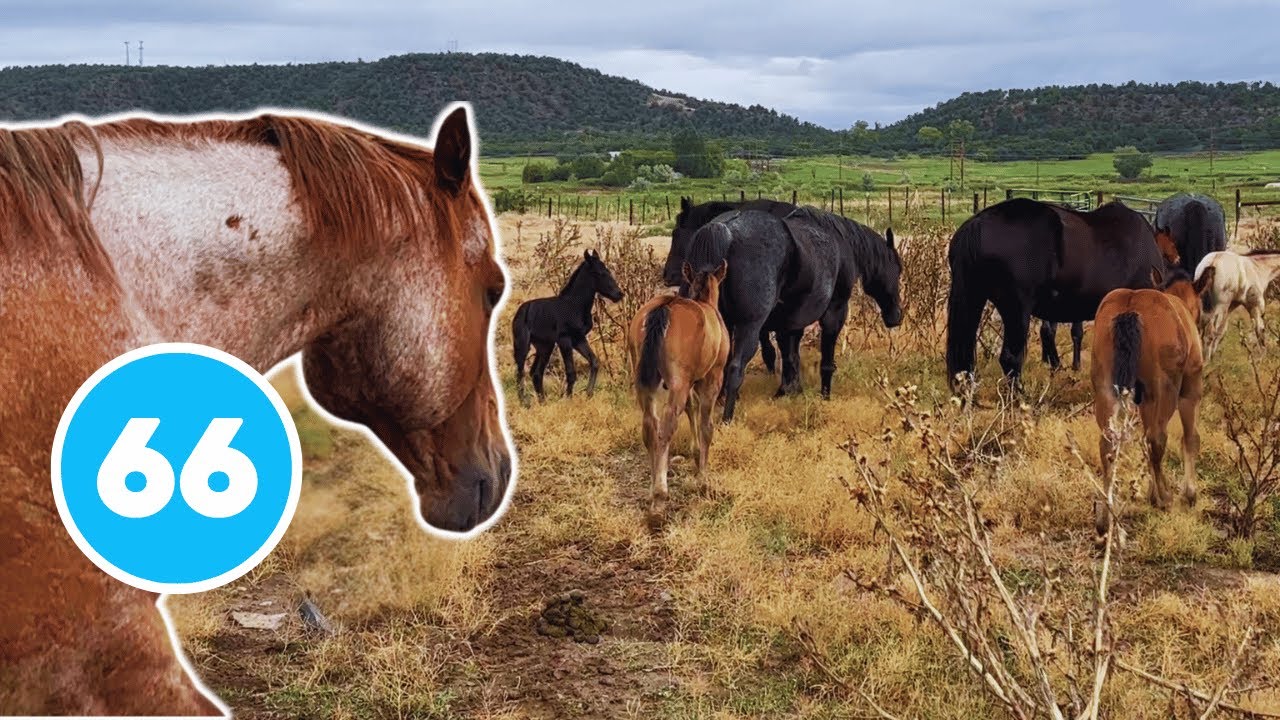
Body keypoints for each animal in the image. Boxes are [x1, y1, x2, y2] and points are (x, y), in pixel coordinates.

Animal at [511, 249, 623, 403]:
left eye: (608, 271)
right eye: (600, 273)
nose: (619, 294)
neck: (574, 306)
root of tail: (521, 311)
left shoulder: (579, 339)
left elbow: (594, 362)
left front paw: (588, 394)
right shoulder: (564, 340)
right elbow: (571, 371)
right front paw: (568, 398)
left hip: (545, 346)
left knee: (536, 372)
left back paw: (542, 402)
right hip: (523, 345)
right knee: (520, 371)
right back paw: (525, 402)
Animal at [628, 261, 730, 524]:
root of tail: (664, 307)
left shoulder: (690, 382)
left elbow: (691, 409)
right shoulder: (711, 378)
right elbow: (706, 424)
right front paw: (703, 478)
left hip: (645, 385)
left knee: (650, 426)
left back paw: (652, 488)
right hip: (677, 384)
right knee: (666, 428)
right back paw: (660, 498)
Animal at [682, 208, 902, 421]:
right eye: (898, 270)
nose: (896, 317)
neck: (842, 245)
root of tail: (725, 230)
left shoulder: (790, 323)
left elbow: (790, 356)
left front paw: (788, 391)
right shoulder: (835, 312)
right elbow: (825, 361)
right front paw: (825, 396)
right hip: (748, 327)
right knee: (735, 368)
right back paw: (726, 419)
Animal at [1090, 265, 1214, 537]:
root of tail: (1130, 310)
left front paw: (1150, 492)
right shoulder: (1191, 387)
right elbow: (1190, 438)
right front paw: (1189, 494)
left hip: (1105, 388)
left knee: (1108, 444)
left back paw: (1104, 518)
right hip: (1163, 389)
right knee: (1157, 438)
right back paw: (1165, 497)